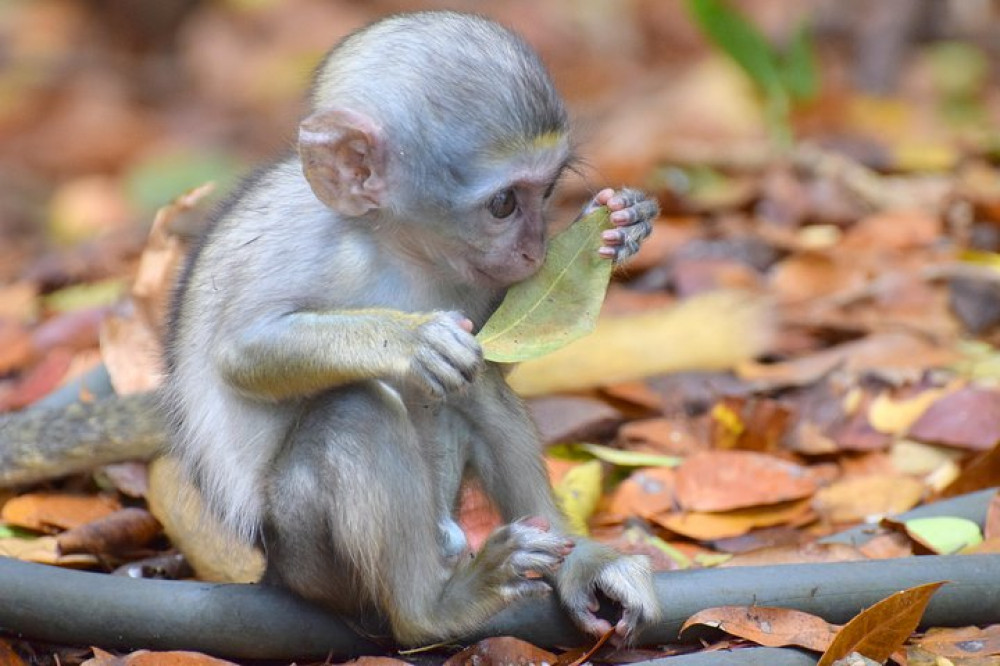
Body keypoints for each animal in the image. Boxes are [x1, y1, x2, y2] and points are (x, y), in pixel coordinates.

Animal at [164, 10, 660, 644]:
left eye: (546, 193)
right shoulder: (311, 247)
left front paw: (626, 228)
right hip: (310, 558)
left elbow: (492, 358)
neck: (395, 245)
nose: (534, 251)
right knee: (358, 409)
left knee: (475, 387)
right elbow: (240, 353)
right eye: (504, 204)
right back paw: (434, 610)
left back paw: (579, 563)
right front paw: (408, 340)